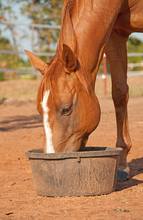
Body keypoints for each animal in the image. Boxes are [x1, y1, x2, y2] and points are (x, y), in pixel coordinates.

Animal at [24, 0, 143, 180]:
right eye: (39, 111)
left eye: (66, 109)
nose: (52, 156)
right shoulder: (115, 34)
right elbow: (119, 92)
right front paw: (122, 166)